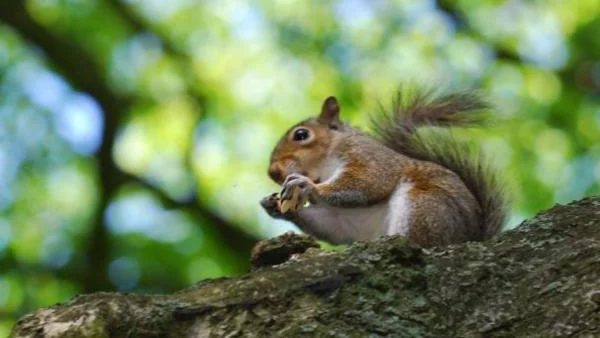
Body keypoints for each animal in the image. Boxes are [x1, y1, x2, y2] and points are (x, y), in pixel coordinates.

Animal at [260, 86, 508, 247]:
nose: (273, 172)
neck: (326, 167)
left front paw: (306, 185)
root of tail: (470, 237)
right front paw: (272, 204)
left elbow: (366, 182)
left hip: (424, 205)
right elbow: (334, 225)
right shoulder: (340, 218)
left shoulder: (368, 157)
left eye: (301, 135)